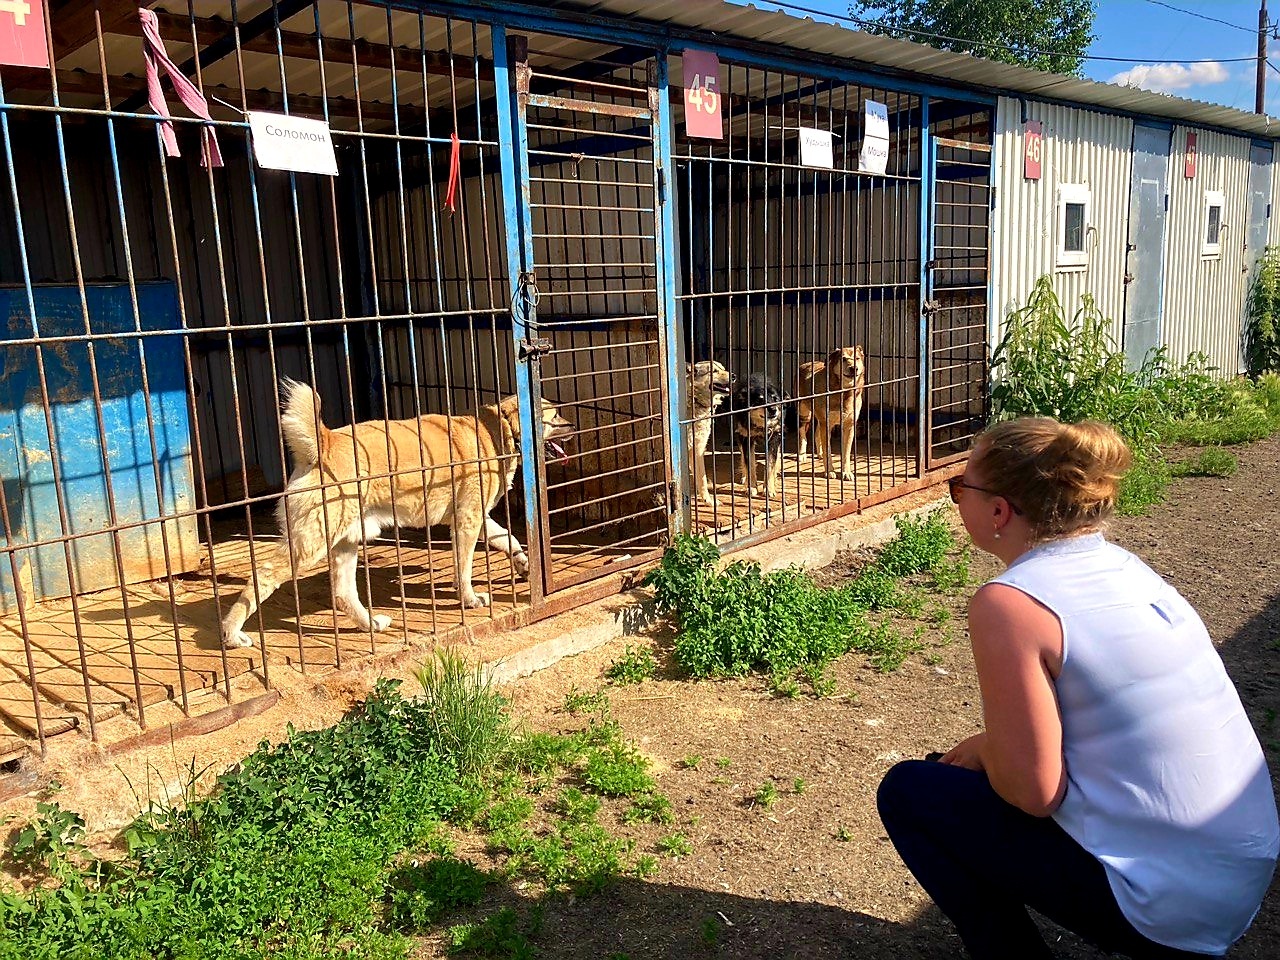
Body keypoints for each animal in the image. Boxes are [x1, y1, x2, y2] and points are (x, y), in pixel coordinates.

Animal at [222, 378, 573, 650]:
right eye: (555, 414)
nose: (574, 424)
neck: (497, 430)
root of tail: (326, 443)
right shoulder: (468, 521)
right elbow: (464, 567)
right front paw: (469, 599)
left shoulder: (478, 518)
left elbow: (509, 539)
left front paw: (524, 564)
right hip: (311, 544)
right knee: (263, 575)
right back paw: (231, 634)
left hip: (346, 542)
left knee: (343, 593)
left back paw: (370, 624)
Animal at [691, 360, 732, 506]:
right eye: (714, 371)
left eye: (723, 369)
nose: (734, 376)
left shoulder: (697, 449)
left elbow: (701, 479)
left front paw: (708, 500)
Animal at [793, 345, 865, 481]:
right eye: (843, 359)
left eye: (857, 358)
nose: (854, 368)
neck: (844, 393)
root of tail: (805, 364)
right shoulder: (826, 423)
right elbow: (828, 451)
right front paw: (829, 471)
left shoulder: (849, 426)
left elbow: (846, 454)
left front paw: (846, 473)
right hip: (804, 413)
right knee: (802, 434)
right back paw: (802, 455)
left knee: (816, 433)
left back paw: (819, 453)